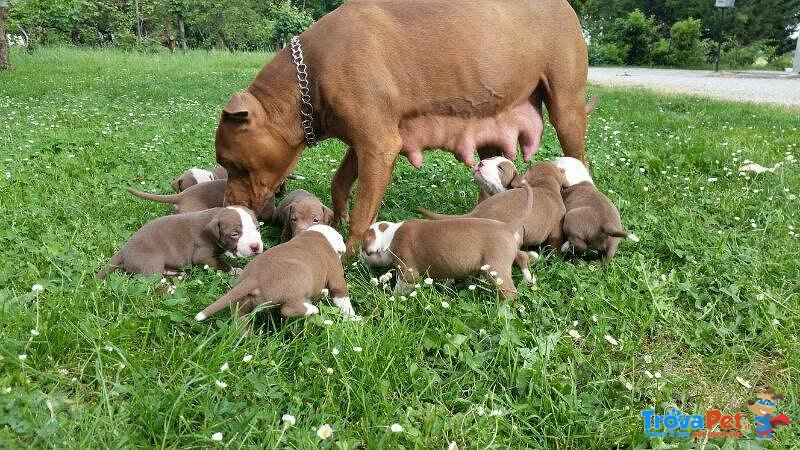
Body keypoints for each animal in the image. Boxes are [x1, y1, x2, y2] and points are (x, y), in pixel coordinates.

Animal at [97, 207, 262, 278]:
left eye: (258, 228)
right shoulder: (203, 256)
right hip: (149, 262)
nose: (256, 246)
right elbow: (222, 264)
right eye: (234, 234)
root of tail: (123, 250)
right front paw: (235, 270)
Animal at [194, 225, 356, 326]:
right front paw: (354, 318)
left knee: (240, 321)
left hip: (240, 303)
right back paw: (312, 309)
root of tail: (254, 278)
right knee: (288, 309)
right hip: (298, 285)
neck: (318, 234)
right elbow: (343, 299)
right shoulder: (336, 277)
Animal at [364, 185, 536, 300]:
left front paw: (392, 298)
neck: (390, 234)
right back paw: (528, 278)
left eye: (363, 250)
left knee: (509, 291)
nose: (359, 256)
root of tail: (508, 226)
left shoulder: (407, 268)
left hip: (495, 267)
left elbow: (403, 284)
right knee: (521, 256)